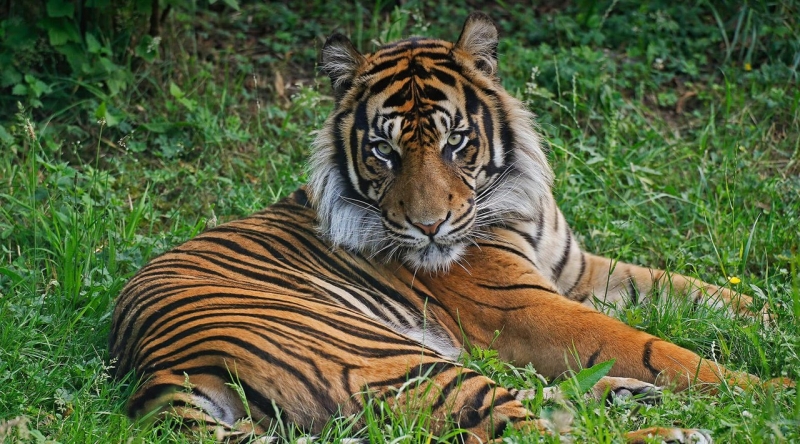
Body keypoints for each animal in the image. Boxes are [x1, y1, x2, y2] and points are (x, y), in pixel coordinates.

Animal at [109, 12, 774, 443]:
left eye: (455, 141)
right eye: (383, 151)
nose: (429, 228)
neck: (514, 201)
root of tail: (153, 367)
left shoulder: (577, 270)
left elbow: (691, 290)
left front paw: (768, 317)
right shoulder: (524, 306)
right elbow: (658, 348)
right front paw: (771, 388)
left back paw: (632, 398)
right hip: (390, 356)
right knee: (519, 430)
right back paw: (669, 430)